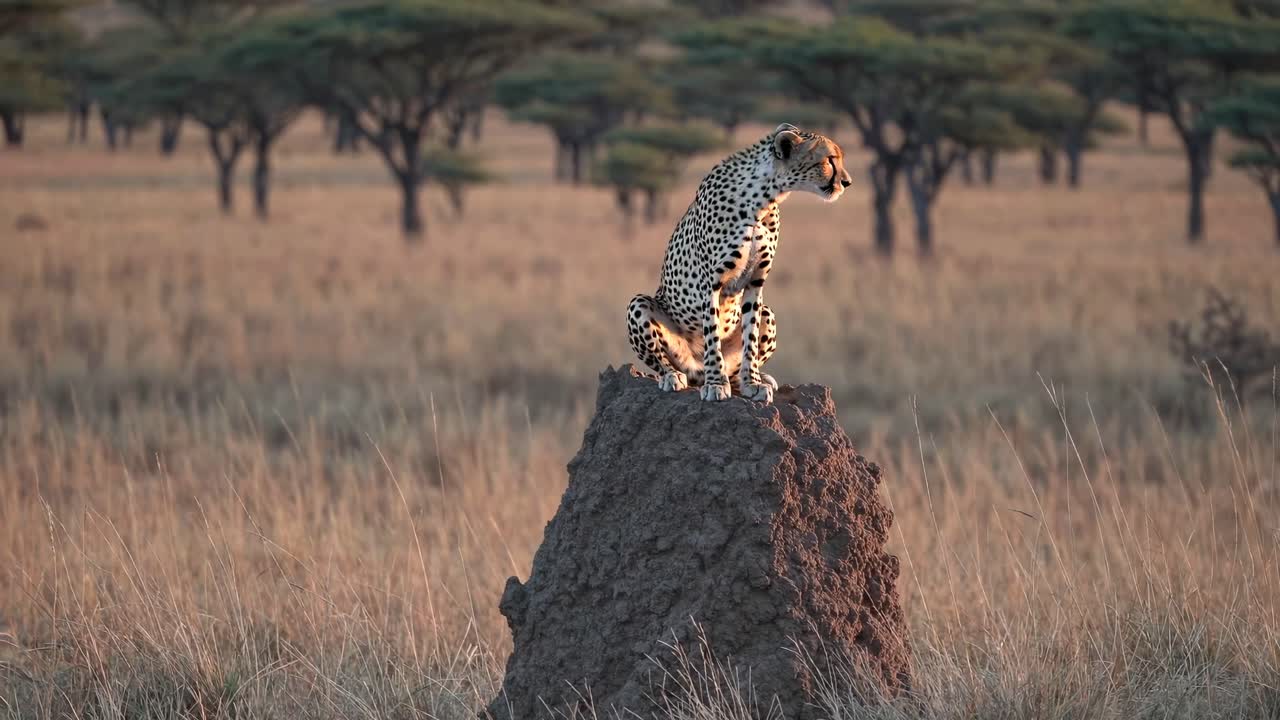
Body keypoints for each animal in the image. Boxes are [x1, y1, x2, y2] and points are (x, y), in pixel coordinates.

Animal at [627, 123, 853, 403]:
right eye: (829, 159)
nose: (847, 182)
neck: (763, 198)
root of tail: (695, 370)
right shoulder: (710, 283)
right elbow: (712, 333)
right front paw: (715, 383)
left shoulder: (756, 282)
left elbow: (750, 337)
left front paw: (752, 382)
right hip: (639, 306)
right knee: (664, 362)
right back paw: (675, 376)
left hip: (768, 312)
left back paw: (752, 378)